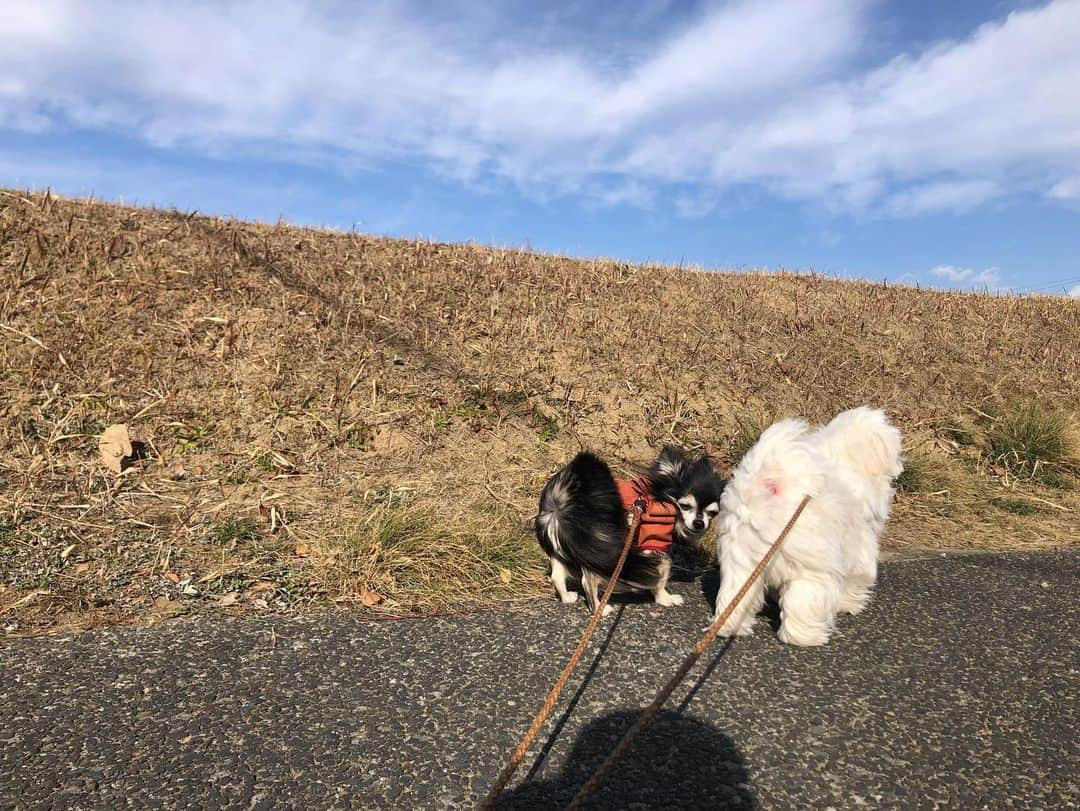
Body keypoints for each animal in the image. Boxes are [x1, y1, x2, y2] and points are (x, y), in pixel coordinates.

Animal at [708, 406, 902, 647]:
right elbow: (859, 575)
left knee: (735, 593)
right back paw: (805, 636)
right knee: (805, 599)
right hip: (811, 566)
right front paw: (849, 603)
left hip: (741, 560)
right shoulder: (861, 542)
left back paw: (729, 627)